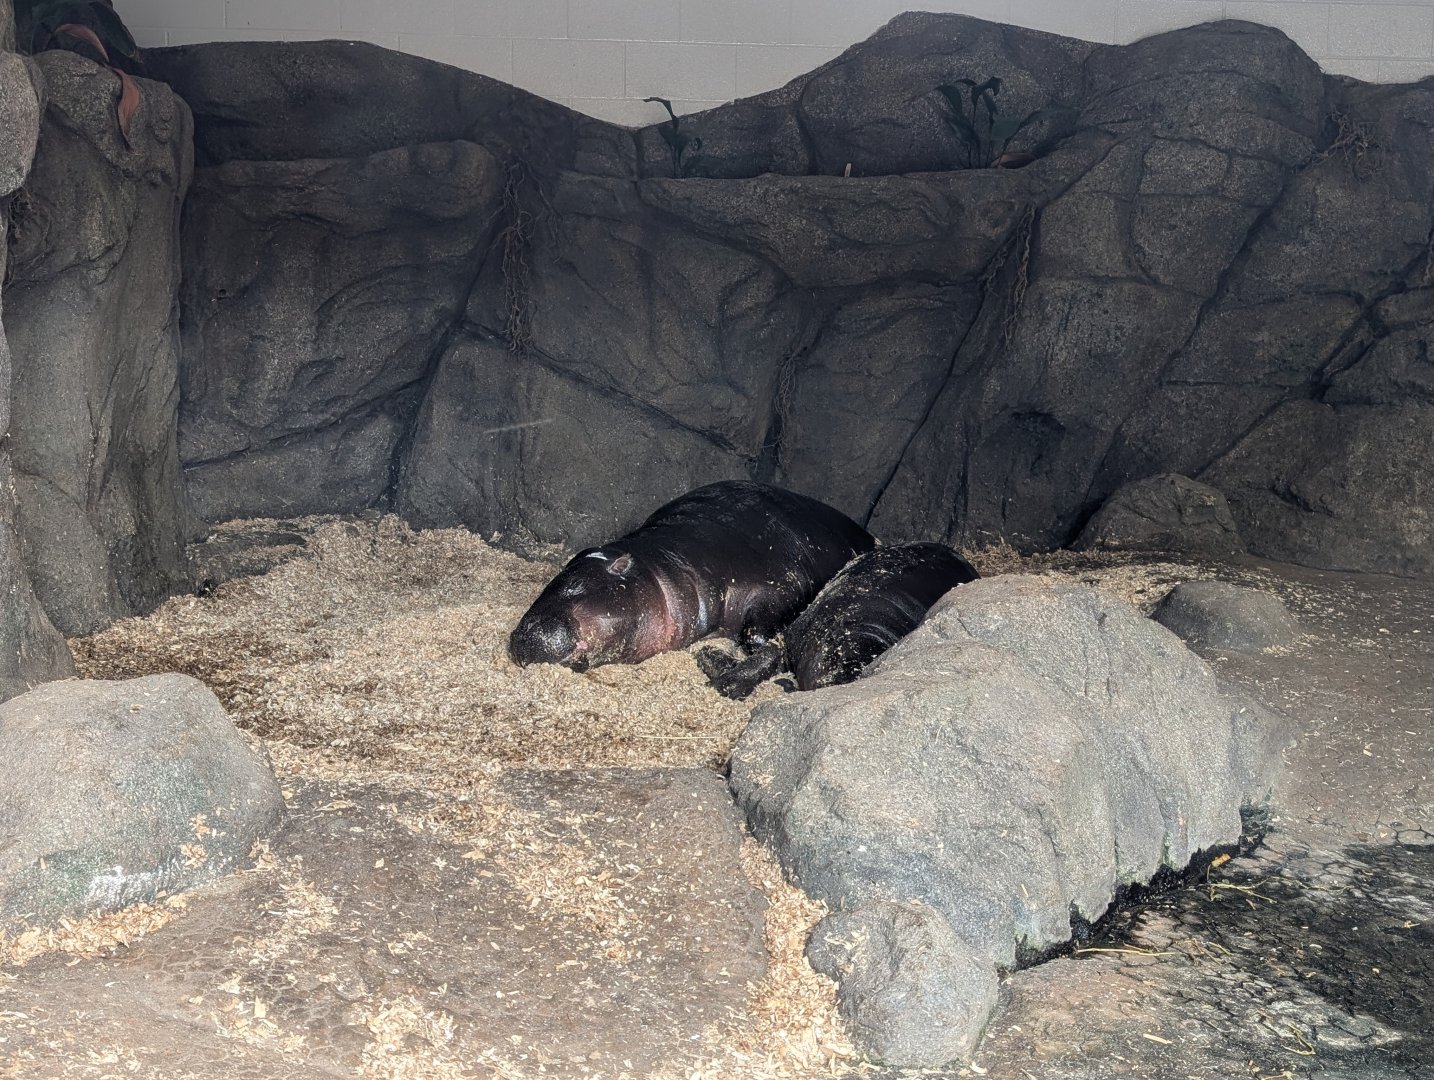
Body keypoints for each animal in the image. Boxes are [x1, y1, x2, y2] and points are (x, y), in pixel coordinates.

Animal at [508, 481, 875, 671]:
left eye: (578, 584)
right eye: (561, 573)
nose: (526, 634)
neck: (664, 564)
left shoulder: (781, 582)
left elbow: (757, 636)